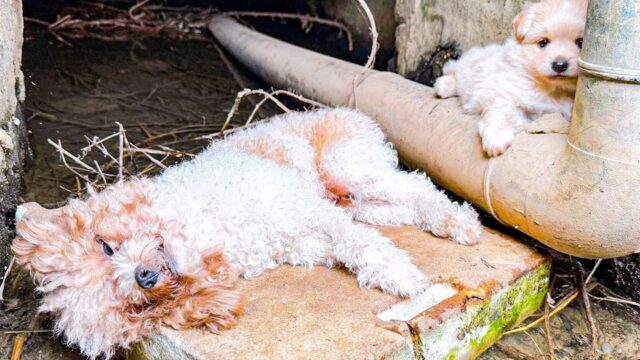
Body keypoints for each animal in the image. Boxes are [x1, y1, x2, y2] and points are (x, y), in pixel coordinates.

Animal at [436, 0, 584, 157]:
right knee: (455, 70)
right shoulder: (505, 93)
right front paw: (496, 139)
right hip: (470, 67)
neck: (554, 89)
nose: (559, 65)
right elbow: (502, 114)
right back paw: (444, 85)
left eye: (581, 43)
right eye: (543, 42)